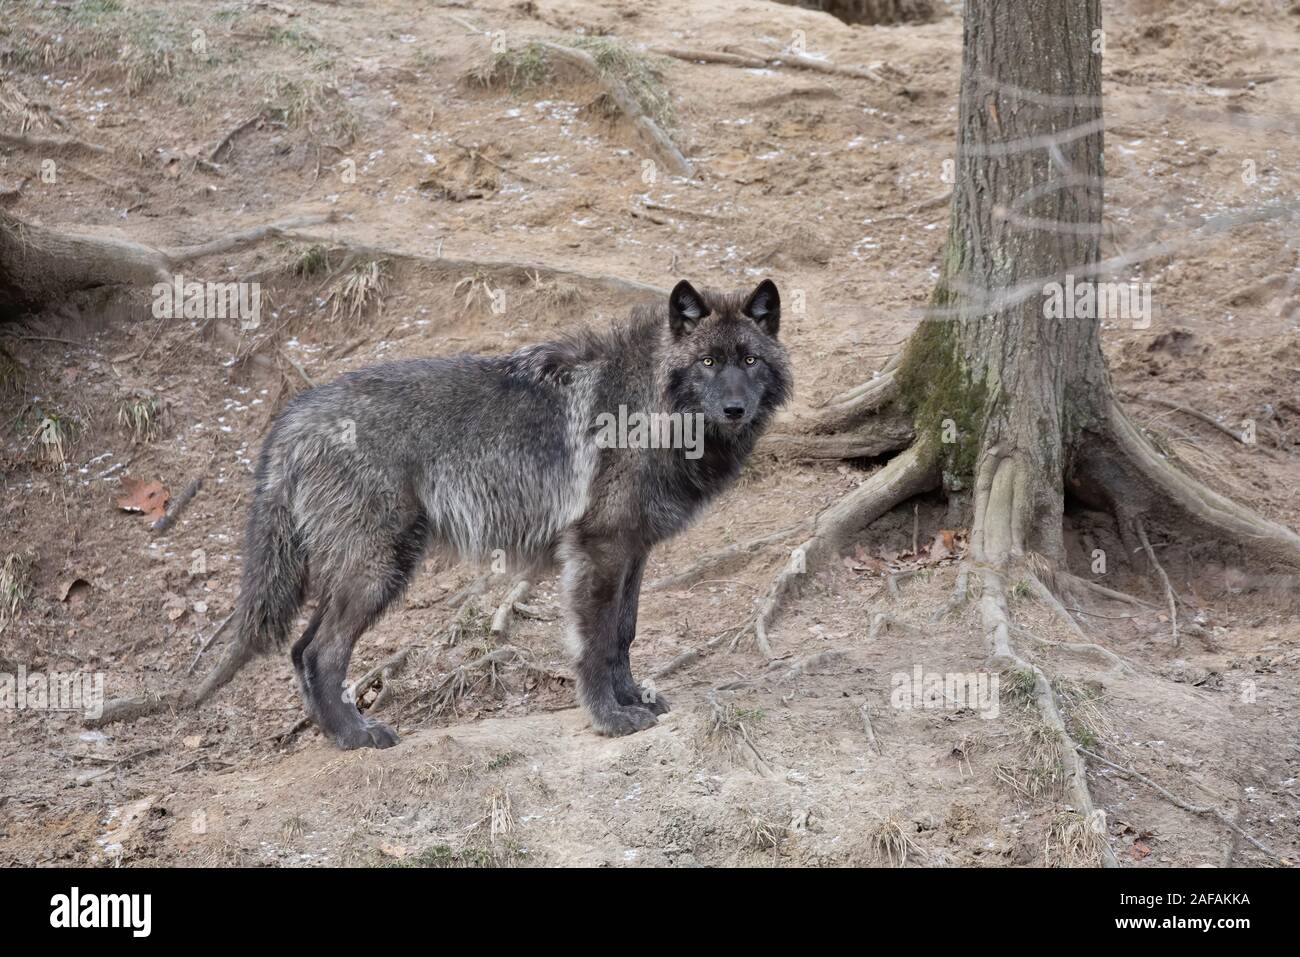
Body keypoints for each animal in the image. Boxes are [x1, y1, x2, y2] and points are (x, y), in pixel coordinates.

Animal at [225, 278, 791, 748]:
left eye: (749, 361)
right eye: (708, 363)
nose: (735, 409)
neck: (651, 406)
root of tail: (293, 415)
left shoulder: (632, 550)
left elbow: (623, 634)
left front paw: (632, 699)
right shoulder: (598, 549)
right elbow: (596, 641)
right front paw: (609, 718)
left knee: (300, 650)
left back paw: (334, 732)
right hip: (378, 569)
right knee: (319, 652)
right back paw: (356, 736)